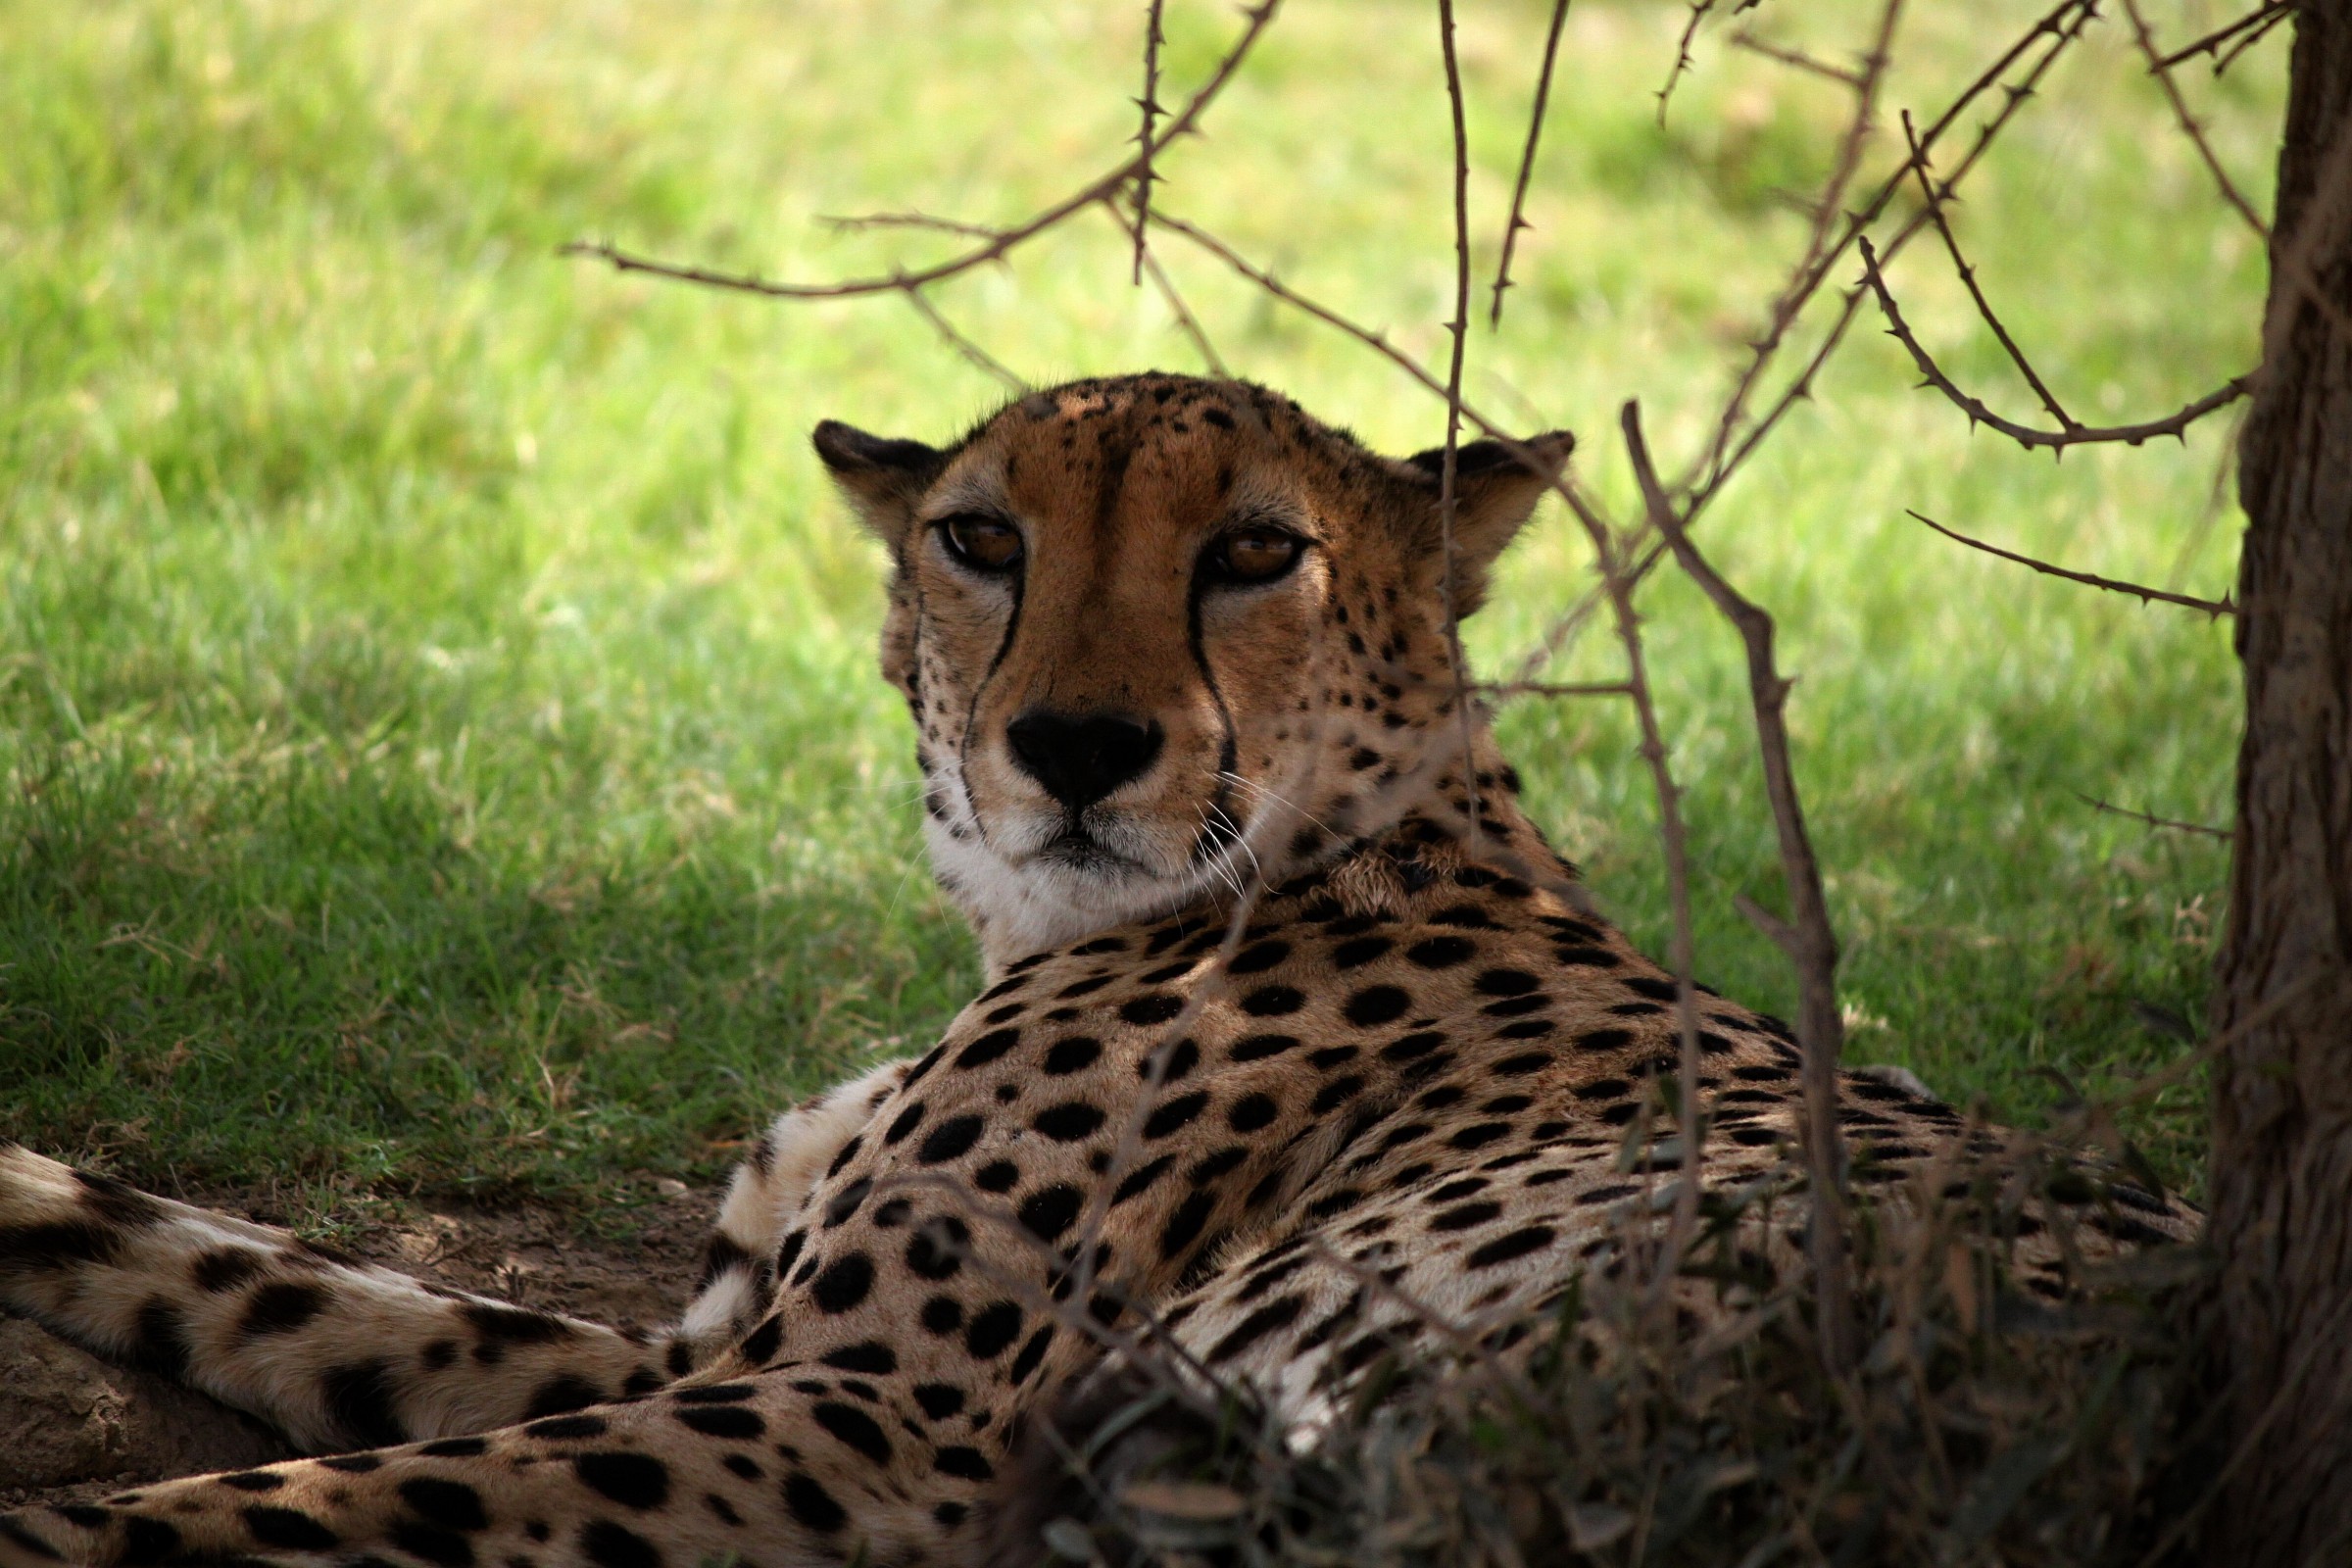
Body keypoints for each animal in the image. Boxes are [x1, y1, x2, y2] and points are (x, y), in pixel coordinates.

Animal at [0, 372, 2195, 1568]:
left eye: (1254, 553)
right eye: (982, 539)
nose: (1073, 745)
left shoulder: (884, 1419)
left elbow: (306, 1496)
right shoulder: (718, 1352)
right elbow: (252, 1273)